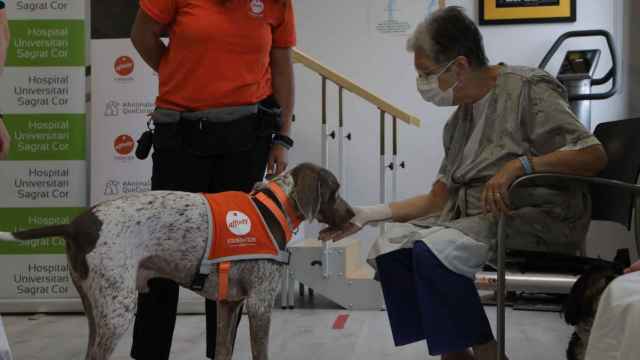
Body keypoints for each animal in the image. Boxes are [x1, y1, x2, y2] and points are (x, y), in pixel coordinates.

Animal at [0, 164, 356, 360]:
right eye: (336, 190)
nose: (353, 215)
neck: (273, 207)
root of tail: (77, 224)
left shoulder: (228, 305)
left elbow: (223, 351)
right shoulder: (259, 303)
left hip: (95, 309)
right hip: (118, 310)